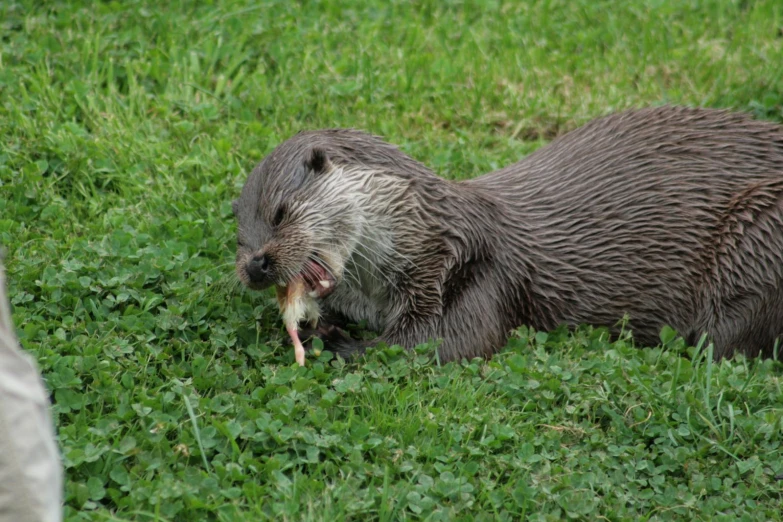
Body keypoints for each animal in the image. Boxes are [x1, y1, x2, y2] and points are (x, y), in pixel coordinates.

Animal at [233, 103, 783, 360]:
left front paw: (341, 343)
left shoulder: (477, 271)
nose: (257, 264)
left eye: (280, 212)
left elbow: (448, 341)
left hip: (759, 234)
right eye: (239, 235)